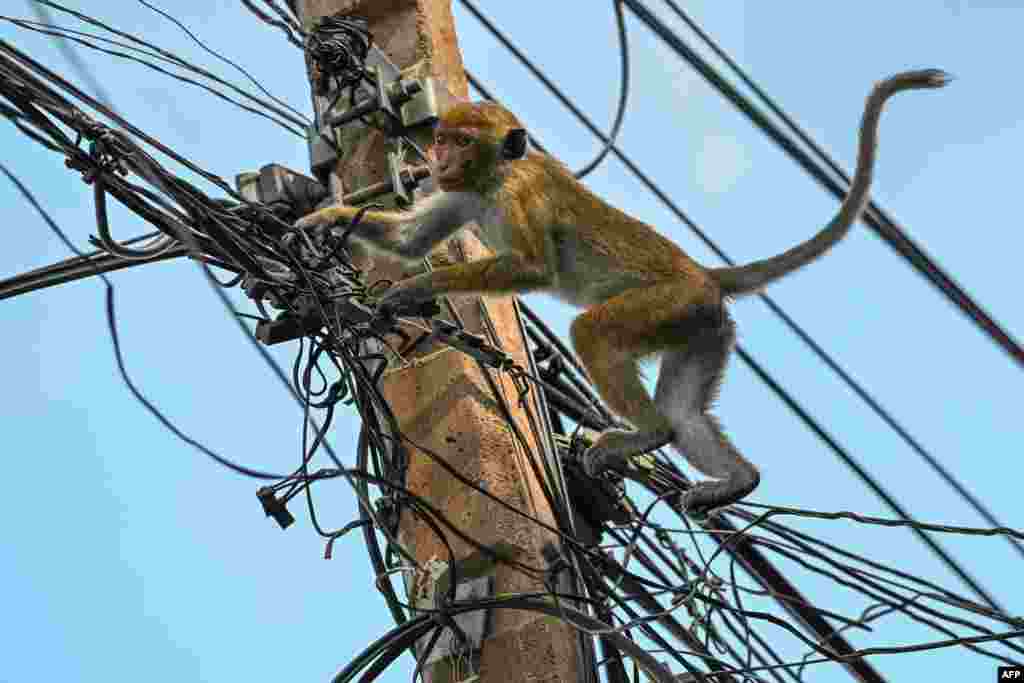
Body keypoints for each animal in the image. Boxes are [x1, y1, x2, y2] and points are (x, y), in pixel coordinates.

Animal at [296, 70, 950, 518]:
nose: (437, 156)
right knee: (687, 413)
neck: (494, 175)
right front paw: (322, 220)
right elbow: (410, 239)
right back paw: (737, 478)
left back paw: (648, 435)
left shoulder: (517, 195)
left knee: (594, 334)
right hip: (704, 328)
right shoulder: (461, 194)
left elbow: (532, 267)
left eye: (461, 141)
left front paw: (414, 289)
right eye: (444, 139)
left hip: (670, 304)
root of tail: (705, 274)